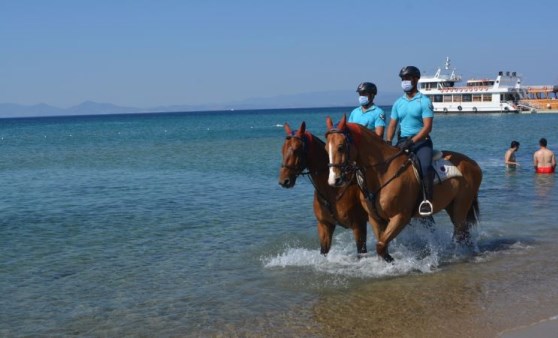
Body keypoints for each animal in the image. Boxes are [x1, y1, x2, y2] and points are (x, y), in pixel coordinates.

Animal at [278, 122, 370, 256]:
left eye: (296, 150)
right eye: (282, 149)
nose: (283, 181)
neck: (333, 189)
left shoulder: (359, 227)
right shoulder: (324, 226)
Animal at [326, 114, 484, 262]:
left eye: (340, 147)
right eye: (326, 149)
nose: (334, 180)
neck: (382, 173)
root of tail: (472, 163)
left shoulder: (400, 217)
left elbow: (381, 247)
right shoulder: (375, 219)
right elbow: (382, 245)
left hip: (460, 207)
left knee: (460, 232)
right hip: (452, 207)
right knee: (463, 234)